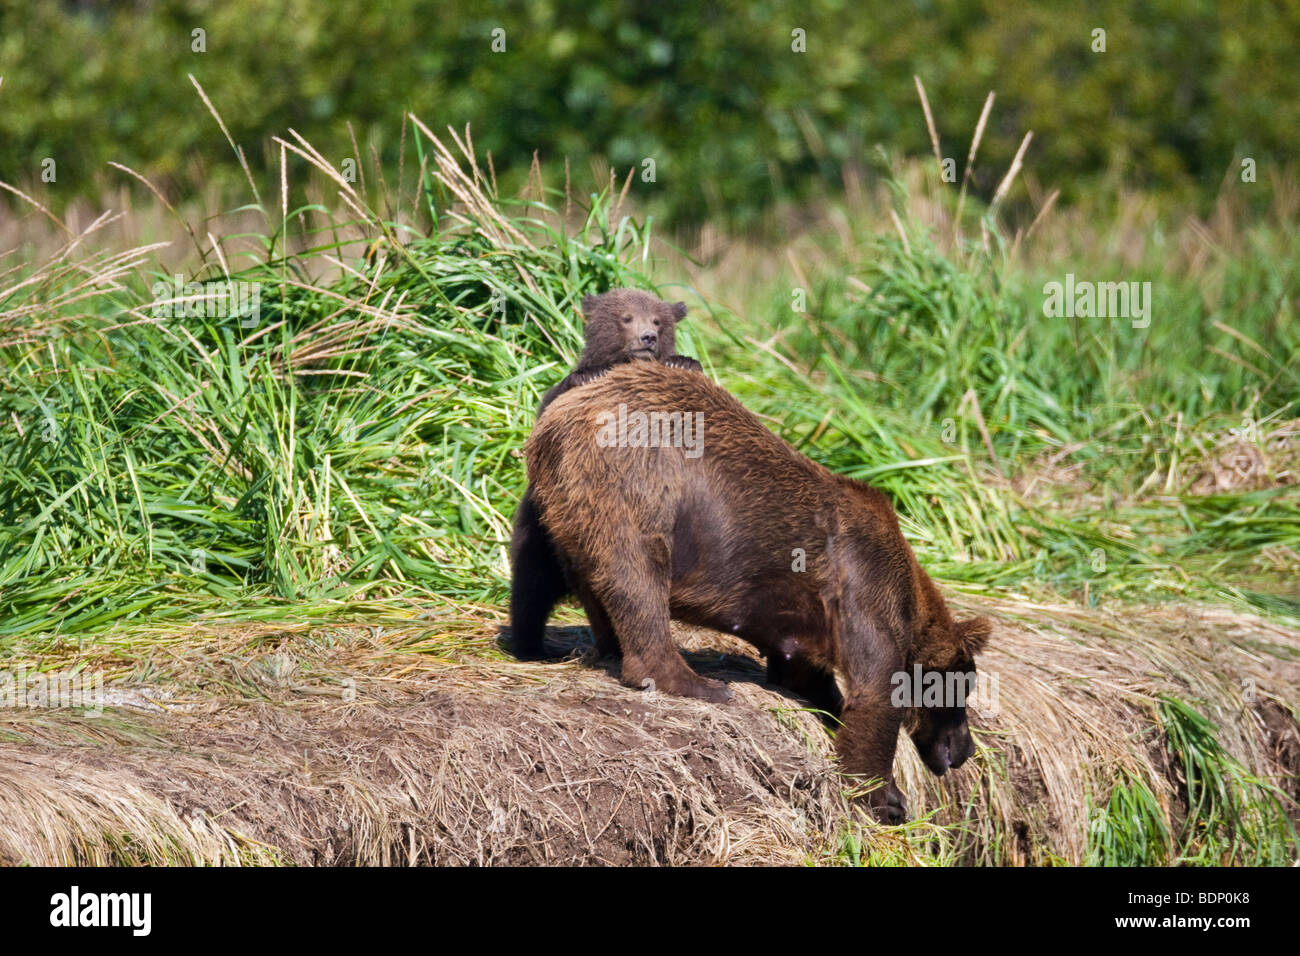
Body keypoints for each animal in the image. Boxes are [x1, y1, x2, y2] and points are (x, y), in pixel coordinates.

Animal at [509, 287, 702, 660]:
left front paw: (683, 360)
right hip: (540, 527)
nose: (647, 337)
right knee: (530, 586)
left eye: (658, 320)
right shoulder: (559, 404)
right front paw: (591, 374)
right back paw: (528, 645)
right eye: (626, 317)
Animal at [522, 361, 987, 822]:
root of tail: (553, 424)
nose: (966, 750)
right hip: (639, 478)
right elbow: (875, 696)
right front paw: (884, 798)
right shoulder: (864, 584)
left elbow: (809, 676)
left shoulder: (808, 628)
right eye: (962, 689)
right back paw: (696, 682)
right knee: (637, 571)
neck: (912, 607)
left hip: (566, 502)